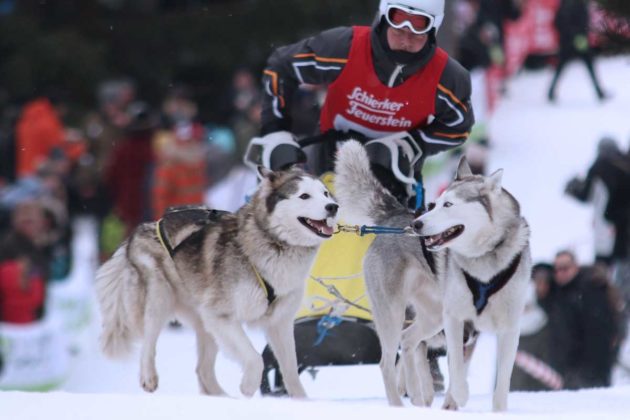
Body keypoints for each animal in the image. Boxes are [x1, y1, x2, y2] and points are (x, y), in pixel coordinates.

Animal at [95, 167, 338, 398]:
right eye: (304, 195)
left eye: (325, 193)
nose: (333, 207)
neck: (273, 245)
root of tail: (146, 226)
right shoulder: (222, 316)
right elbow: (255, 357)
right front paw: (248, 386)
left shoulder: (280, 323)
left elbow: (290, 370)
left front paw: (301, 401)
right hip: (160, 299)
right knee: (148, 342)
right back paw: (149, 377)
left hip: (204, 322)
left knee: (202, 369)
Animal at [414, 153, 532, 412]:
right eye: (434, 204)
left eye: (448, 205)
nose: (416, 224)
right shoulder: (454, 318)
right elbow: (456, 367)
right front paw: (461, 394)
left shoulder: (509, 328)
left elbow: (503, 380)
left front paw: (499, 411)